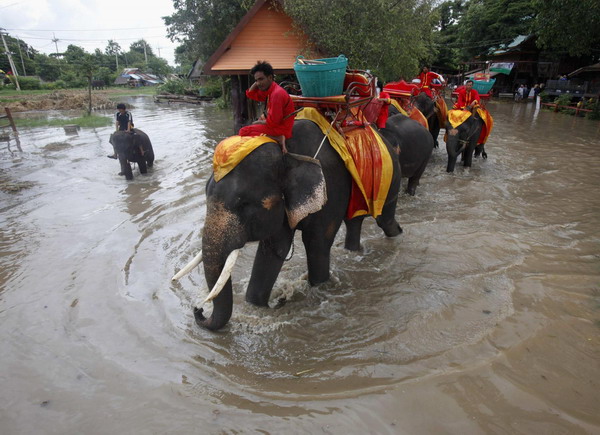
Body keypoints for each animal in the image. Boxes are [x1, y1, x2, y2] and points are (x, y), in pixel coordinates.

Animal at [171, 119, 400, 330]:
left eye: (244, 204)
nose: (198, 310)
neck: (287, 153)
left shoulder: (332, 186)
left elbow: (318, 243)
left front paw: (318, 290)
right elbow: (274, 249)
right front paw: (257, 306)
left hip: (390, 179)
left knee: (384, 220)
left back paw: (396, 237)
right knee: (354, 222)